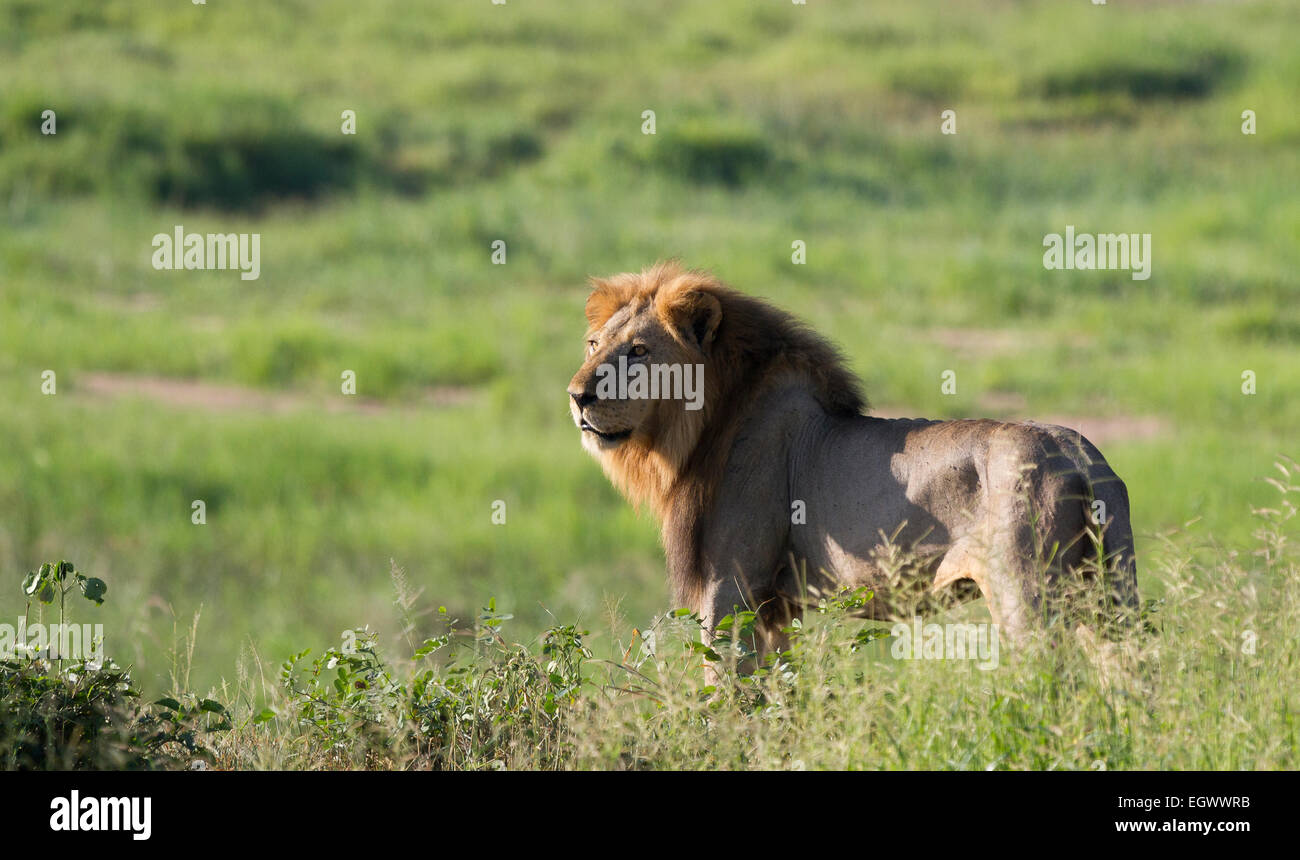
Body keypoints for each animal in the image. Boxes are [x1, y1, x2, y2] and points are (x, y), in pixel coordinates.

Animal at [569, 262, 1138, 675]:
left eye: (639, 351)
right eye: (594, 346)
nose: (577, 396)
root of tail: (1081, 455)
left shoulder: (731, 587)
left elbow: (724, 690)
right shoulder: (776, 604)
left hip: (1027, 594)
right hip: (1107, 595)